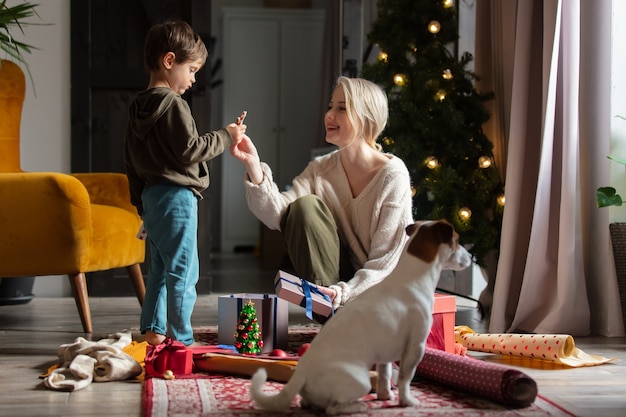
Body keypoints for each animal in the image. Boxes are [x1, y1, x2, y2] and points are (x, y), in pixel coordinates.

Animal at [247, 219, 468, 414]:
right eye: (457, 240)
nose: (470, 256)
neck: (412, 277)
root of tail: (301, 372)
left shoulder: (385, 352)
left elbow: (384, 375)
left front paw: (385, 397)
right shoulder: (415, 347)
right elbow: (405, 378)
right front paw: (406, 401)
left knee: (307, 402)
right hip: (360, 380)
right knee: (331, 408)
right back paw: (358, 406)